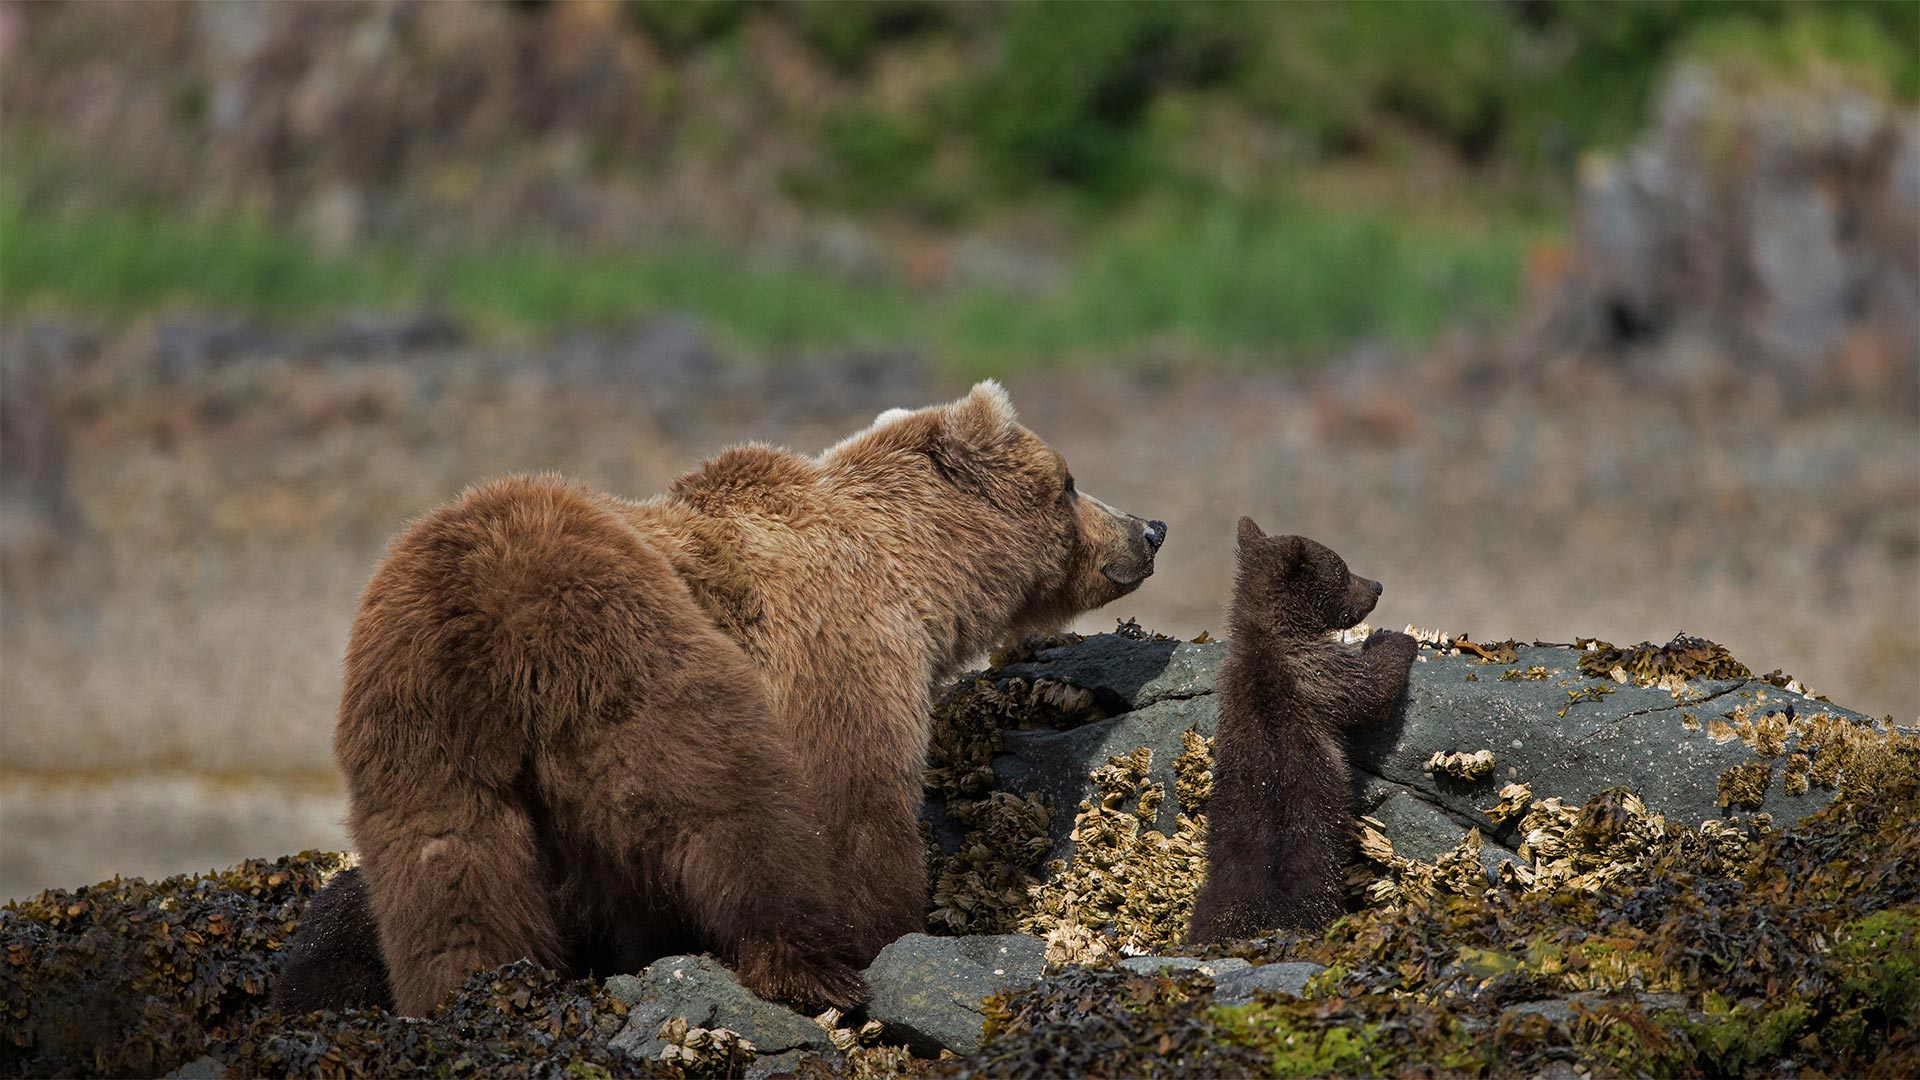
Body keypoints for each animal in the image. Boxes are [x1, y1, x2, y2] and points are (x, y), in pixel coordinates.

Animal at [284, 382, 1159, 1014]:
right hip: (630, 652)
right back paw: (809, 965)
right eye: (1071, 481)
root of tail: (480, 614)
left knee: (445, 872)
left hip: (416, 724)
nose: (1150, 529)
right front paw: (892, 927)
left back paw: (467, 991)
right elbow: (854, 804)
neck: (918, 579)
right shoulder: (837, 648)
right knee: (728, 808)